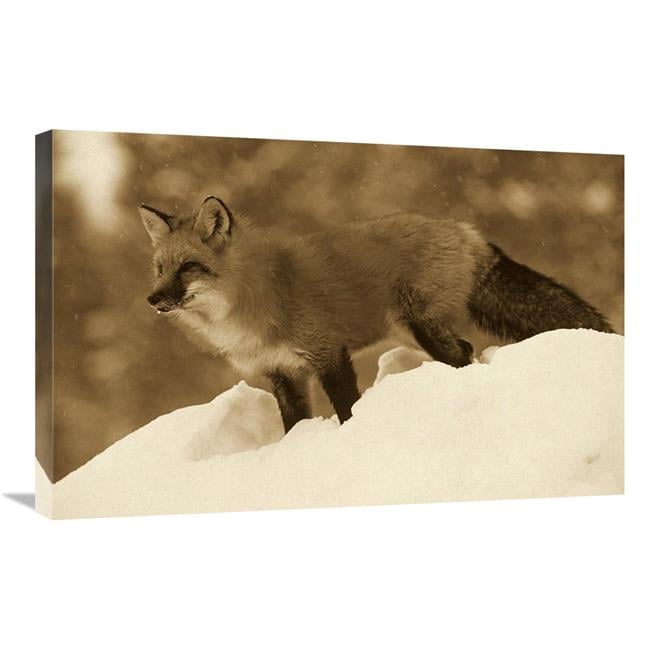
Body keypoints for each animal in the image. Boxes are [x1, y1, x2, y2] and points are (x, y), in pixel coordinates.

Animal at [139, 195, 613, 432]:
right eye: (160, 268)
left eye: (188, 267)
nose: (152, 299)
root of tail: (465, 230)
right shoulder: (282, 372)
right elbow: (293, 424)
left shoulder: (327, 351)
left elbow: (346, 405)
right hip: (411, 331)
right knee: (463, 349)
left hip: (419, 325)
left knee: (461, 352)